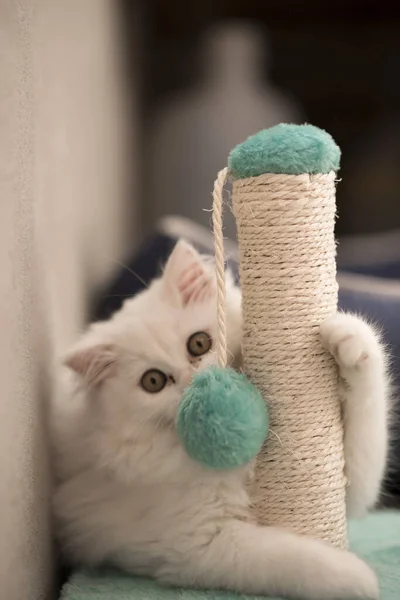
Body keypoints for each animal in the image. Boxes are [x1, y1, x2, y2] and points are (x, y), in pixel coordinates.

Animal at [50, 240, 388, 600]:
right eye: (153, 381)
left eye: (199, 343)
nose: (193, 383)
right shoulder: (199, 545)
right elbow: (294, 559)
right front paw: (360, 579)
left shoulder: (349, 486)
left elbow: (368, 416)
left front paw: (345, 336)